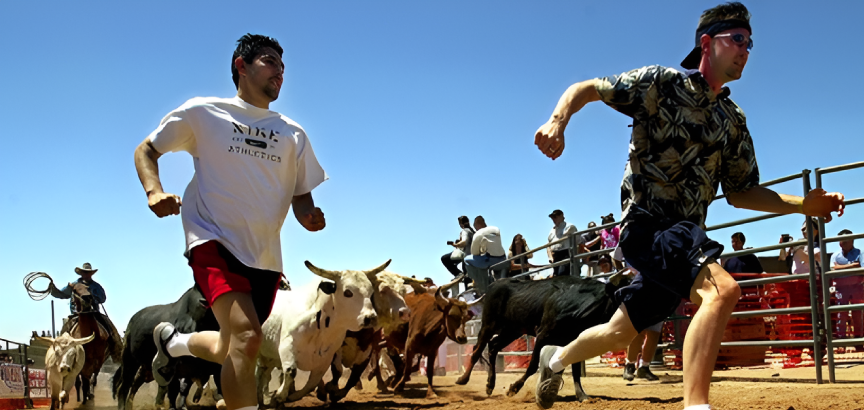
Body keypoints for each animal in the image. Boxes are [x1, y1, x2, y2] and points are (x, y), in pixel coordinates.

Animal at [255, 260, 390, 404]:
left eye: (371, 292)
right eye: (348, 292)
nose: (371, 318)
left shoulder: (326, 359)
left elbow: (312, 383)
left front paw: (291, 396)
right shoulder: (287, 345)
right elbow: (291, 371)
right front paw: (280, 395)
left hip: (268, 358)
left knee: (262, 373)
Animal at [452, 274, 628, 402]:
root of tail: (493, 285)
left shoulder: (575, 340)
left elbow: (575, 370)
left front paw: (582, 395)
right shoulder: (543, 335)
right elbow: (533, 365)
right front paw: (513, 388)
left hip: (512, 330)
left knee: (494, 346)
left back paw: (490, 384)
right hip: (489, 324)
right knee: (477, 350)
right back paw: (463, 379)